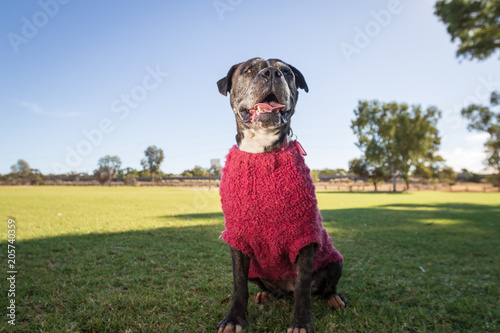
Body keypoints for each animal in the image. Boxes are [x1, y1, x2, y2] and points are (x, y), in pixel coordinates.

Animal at [217, 58, 346, 330]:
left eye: (286, 72)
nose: (272, 73)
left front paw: (301, 322)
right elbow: (238, 285)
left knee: (323, 288)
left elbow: (303, 286)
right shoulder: (237, 238)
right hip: (256, 270)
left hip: (334, 260)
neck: (262, 151)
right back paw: (266, 294)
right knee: (267, 288)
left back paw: (334, 298)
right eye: (248, 70)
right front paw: (234, 318)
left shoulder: (305, 236)